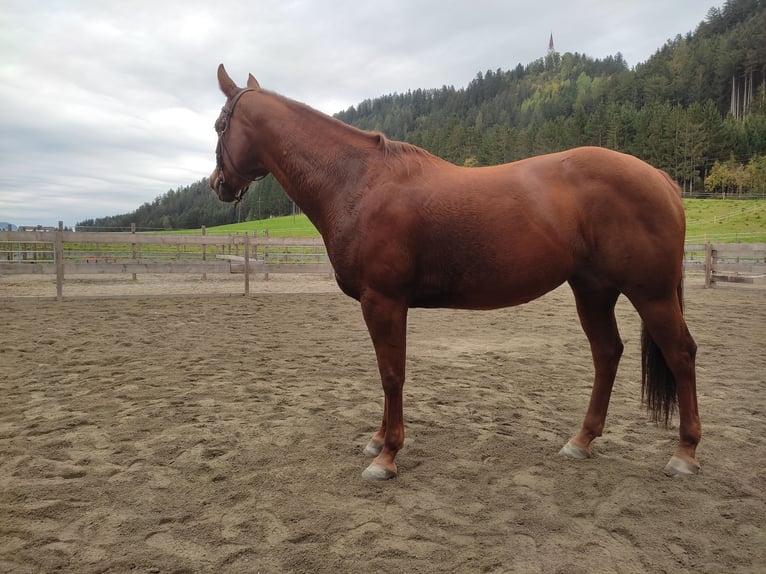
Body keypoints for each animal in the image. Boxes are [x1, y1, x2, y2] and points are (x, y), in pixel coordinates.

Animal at [209, 64, 700, 480]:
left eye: (219, 126)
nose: (218, 185)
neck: (359, 183)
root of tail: (660, 178)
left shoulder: (383, 301)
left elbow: (392, 373)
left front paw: (387, 456)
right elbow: (386, 370)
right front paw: (377, 441)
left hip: (651, 294)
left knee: (681, 354)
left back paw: (684, 453)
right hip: (593, 290)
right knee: (607, 353)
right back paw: (581, 441)